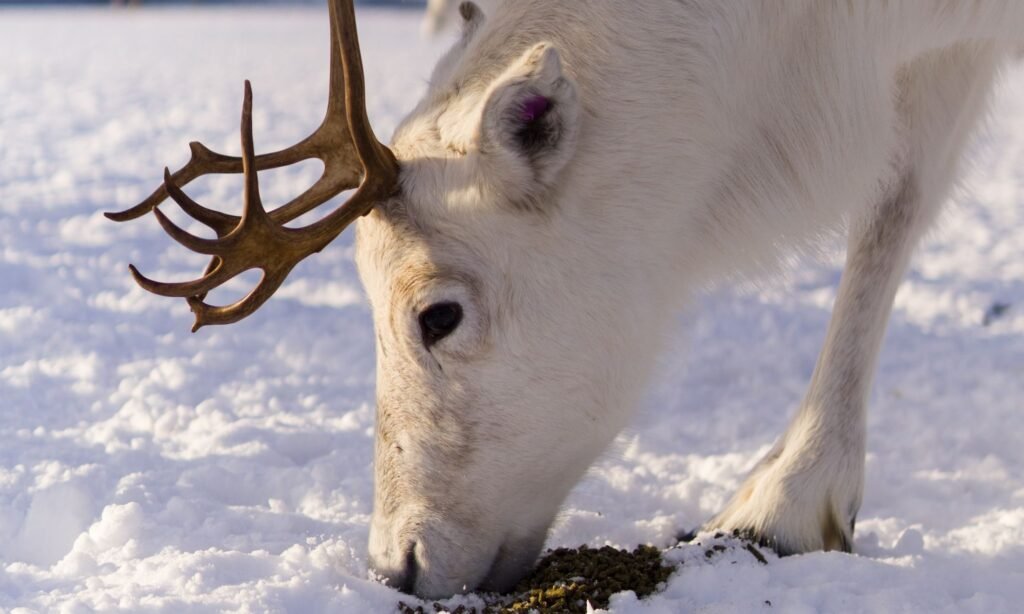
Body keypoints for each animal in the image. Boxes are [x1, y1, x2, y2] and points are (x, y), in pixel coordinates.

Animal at [108, 0, 1024, 600]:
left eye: (438, 315)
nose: (397, 565)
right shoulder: (940, 56)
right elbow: (895, 208)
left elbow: (888, 220)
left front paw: (785, 506)